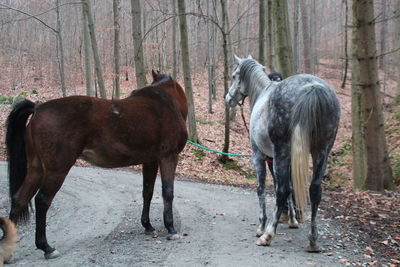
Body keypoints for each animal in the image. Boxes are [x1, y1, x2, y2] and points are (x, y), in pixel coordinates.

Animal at [5, 70, 188, 260]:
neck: (166, 103)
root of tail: (38, 108)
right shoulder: (169, 156)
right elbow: (168, 192)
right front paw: (171, 228)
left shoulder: (150, 160)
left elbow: (147, 192)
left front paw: (148, 226)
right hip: (56, 170)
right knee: (42, 201)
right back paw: (46, 247)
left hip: (36, 169)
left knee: (19, 199)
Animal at [227, 55, 340, 252]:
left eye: (234, 76)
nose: (228, 99)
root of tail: (312, 87)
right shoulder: (284, 159)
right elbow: (291, 189)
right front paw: (293, 219)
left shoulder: (261, 156)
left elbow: (263, 188)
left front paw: (262, 225)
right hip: (321, 152)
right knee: (314, 190)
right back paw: (313, 240)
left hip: (282, 153)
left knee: (282, 190)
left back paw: (267, 235)